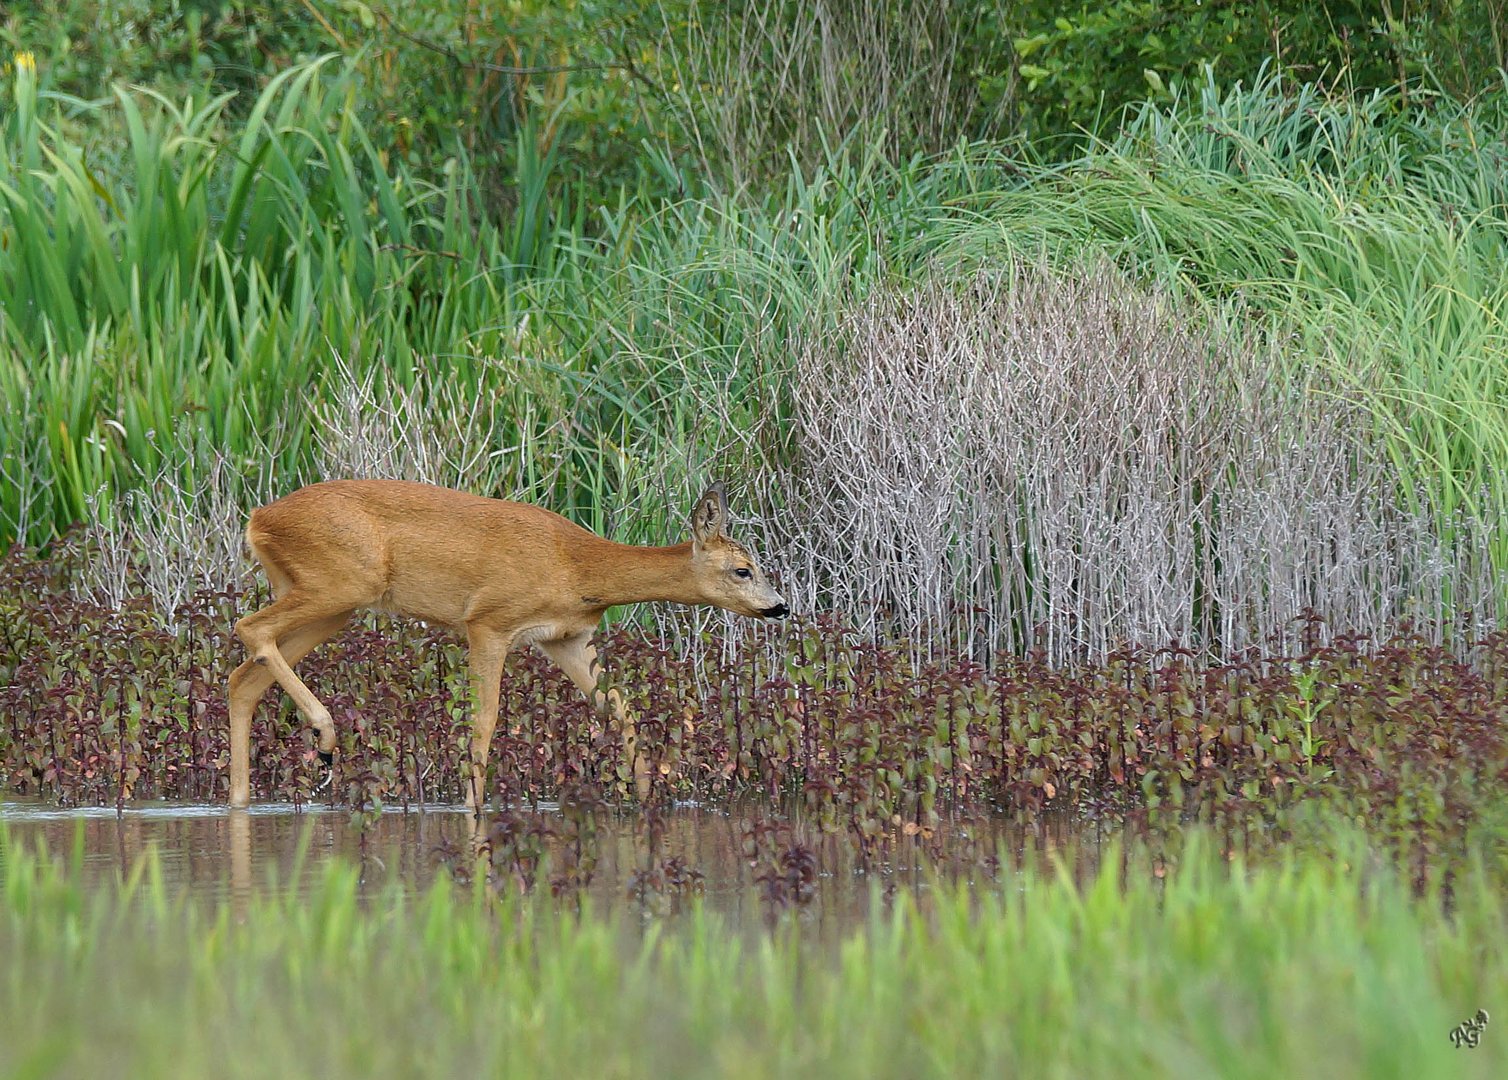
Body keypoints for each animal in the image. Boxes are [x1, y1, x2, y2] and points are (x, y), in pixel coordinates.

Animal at [226, 482, 790, 808]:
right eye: (743, 569)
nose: (779, 607)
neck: (578, 566)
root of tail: (257, 519)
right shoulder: (489, 622)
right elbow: (485, 720)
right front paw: (473, 808)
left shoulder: (569, 638)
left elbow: (617, 708)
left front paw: (650, 794)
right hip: (340, 583)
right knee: (248, 629)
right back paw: (324, 738)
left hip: (333, 602)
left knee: (243, 677)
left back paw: (241, 799)